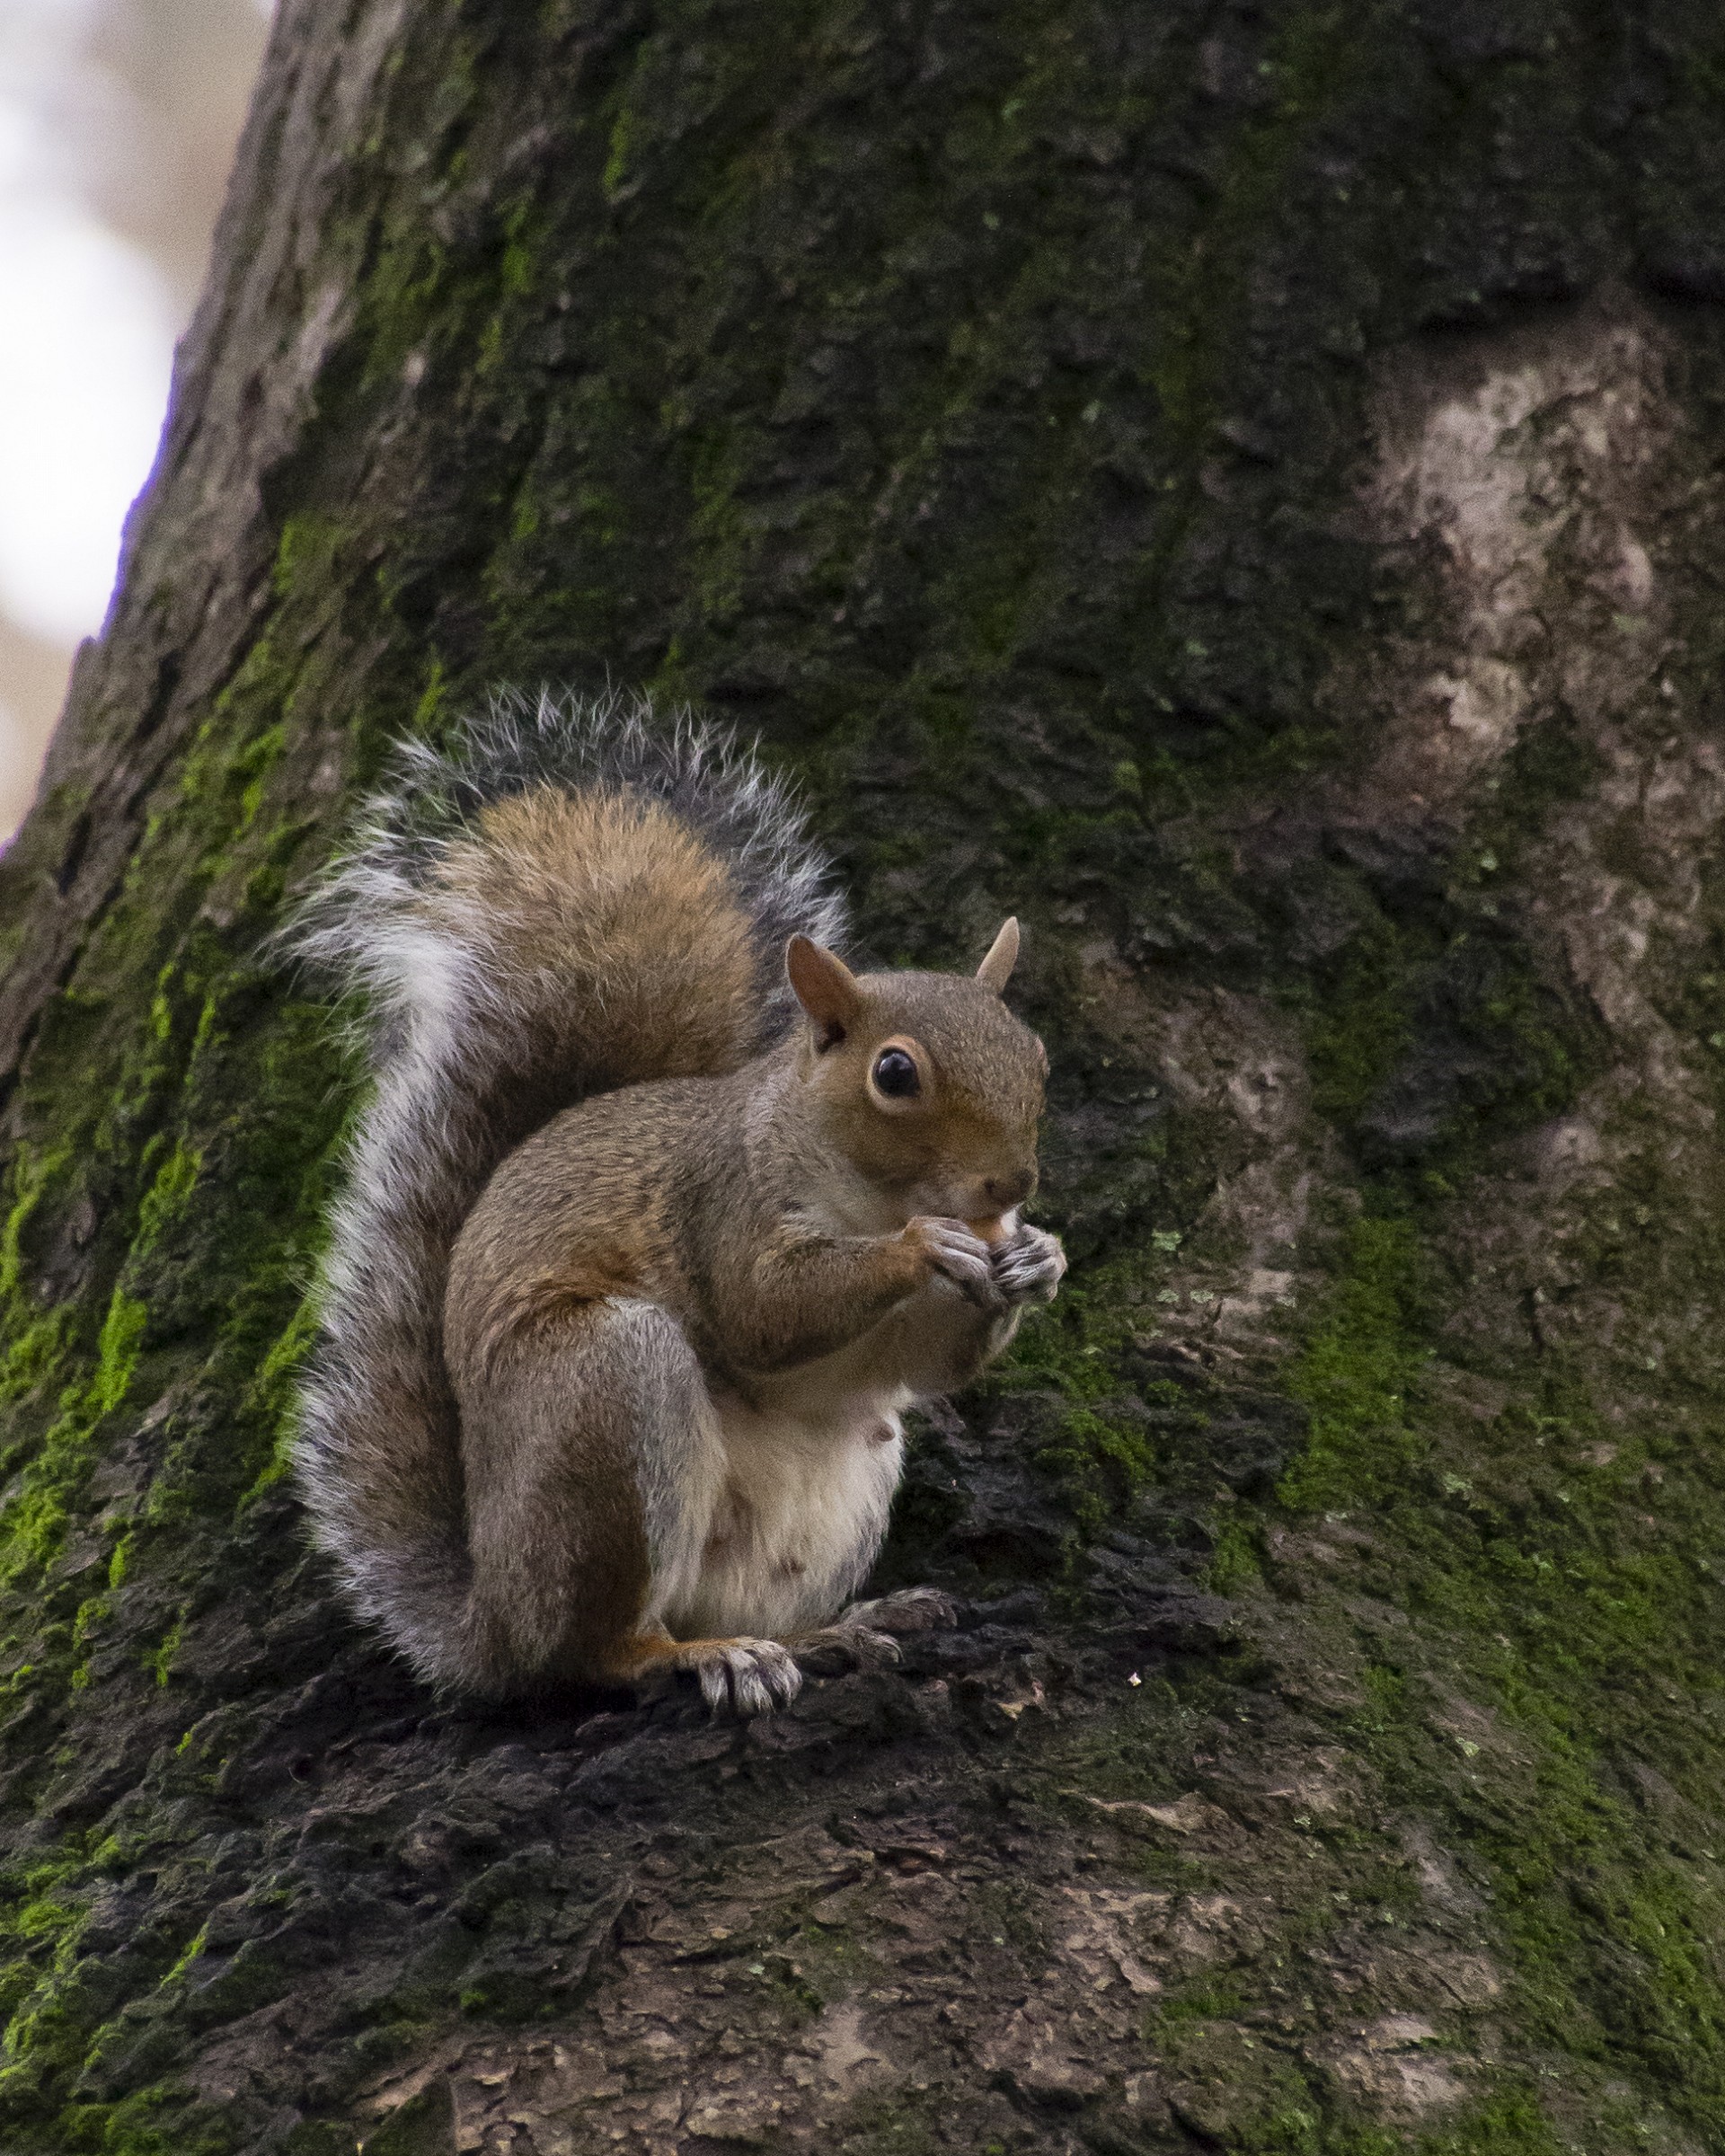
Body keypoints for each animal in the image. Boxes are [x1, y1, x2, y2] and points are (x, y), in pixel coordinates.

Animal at [292, 689, 1066, 1714]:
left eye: (1036, 1053)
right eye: (895, 1073)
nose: (1010, 1186)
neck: (862, 1190)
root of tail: (493, 1618)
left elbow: (930, 1364)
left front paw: (1039, 1258)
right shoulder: (720, 1206)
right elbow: (761, 1312)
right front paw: (923, 1245)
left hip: (846, 1478)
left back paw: (829, 1630)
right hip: (604, 1394)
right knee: (596, 1650)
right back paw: (700, 1655)